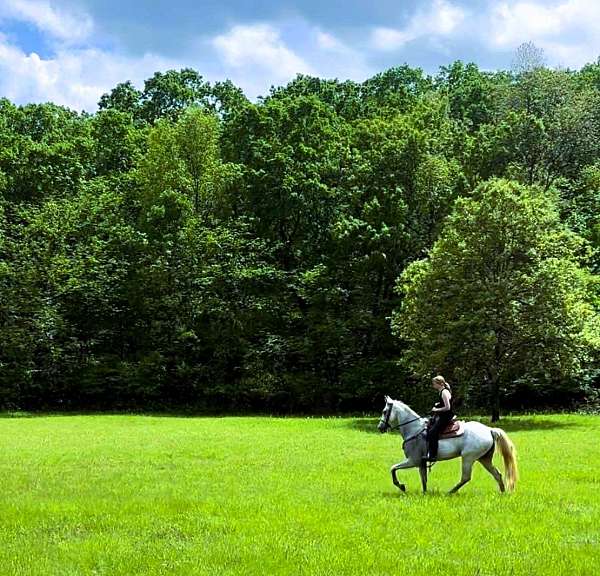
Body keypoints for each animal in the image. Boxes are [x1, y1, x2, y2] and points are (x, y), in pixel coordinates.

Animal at [378, 396, 516, 496]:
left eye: (384, 412)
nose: (380, 427)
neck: (414, 429)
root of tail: (489, 430)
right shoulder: (421, 463)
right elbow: (423, 479)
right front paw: (424, 493)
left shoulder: (413, 460)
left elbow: (393, 468)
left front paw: (401, 486)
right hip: (484, 459)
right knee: (497, 474)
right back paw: (503, 492)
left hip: (468, 458)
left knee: (465, 477)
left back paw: (450, 492)